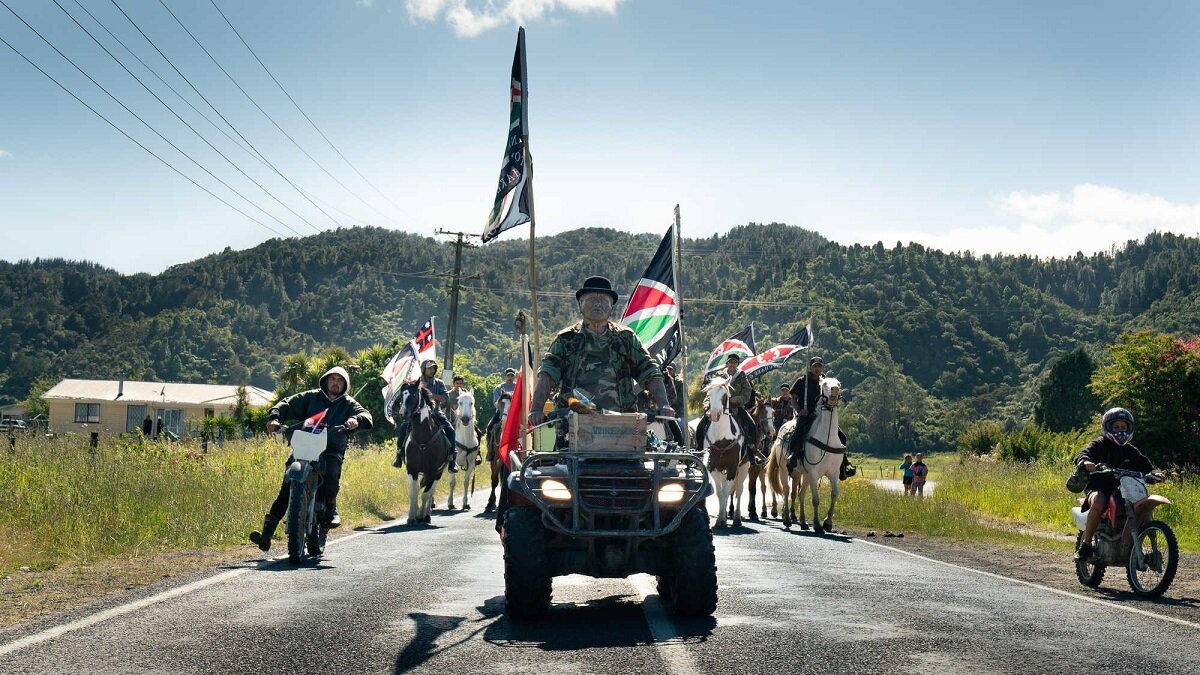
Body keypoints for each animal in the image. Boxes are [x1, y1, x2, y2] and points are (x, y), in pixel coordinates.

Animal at [398, 381, 451, 523]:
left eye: (414, 395)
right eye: (402, 395)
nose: (402, 413)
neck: (423, 438)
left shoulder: (433, 471)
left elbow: (426, 494)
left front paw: (421, 515)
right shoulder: (412, 469)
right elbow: (413, 492)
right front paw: (412, 517)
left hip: (438, 473)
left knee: (431, 491)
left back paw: (426, 514)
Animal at [700, 372, 744, 526]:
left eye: (725, 395)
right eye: (709, 393)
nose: (713, 414)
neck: (722, 438)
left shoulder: (732, 467)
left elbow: (726, 492)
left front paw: (722, 519)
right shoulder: (713, 466)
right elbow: (720, 492)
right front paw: (721, 517)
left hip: (745, 467)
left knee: (739, 490)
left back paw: (737, 518)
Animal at [768, 374, 844, 528]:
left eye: (838, 383)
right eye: (825, 384)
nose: (834, 390)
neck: (827, 438)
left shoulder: (833, 473)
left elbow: (834, 494)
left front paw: (827, 522)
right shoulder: (814, 473)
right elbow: (815, 499)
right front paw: (817, 524)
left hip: (801, 473)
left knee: (800, 494)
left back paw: (802, 521)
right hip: (784, 469)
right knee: (786, 490)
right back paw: (787, 519)